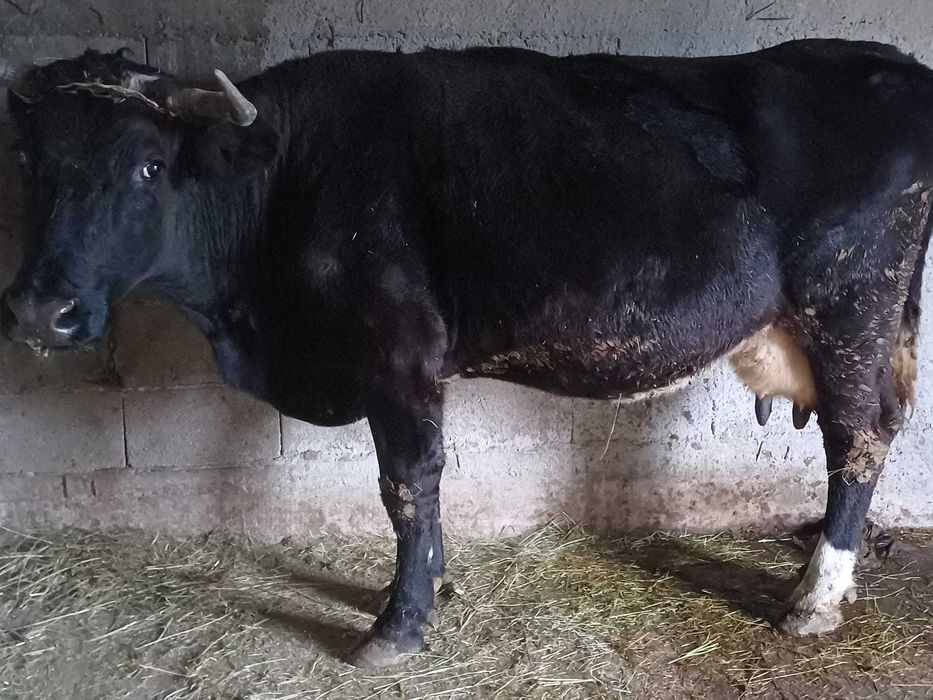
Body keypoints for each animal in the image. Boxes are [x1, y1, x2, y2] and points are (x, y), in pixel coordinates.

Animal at [0, 39, 929, 667]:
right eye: (32, 160)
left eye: (149, 166)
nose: (41, 311)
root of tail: (887, 62)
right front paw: (426, 588)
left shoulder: (398, 348)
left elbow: (407, 483)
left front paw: (399, 620)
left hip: (849, 304)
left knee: (856, 435)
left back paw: (814, 596)